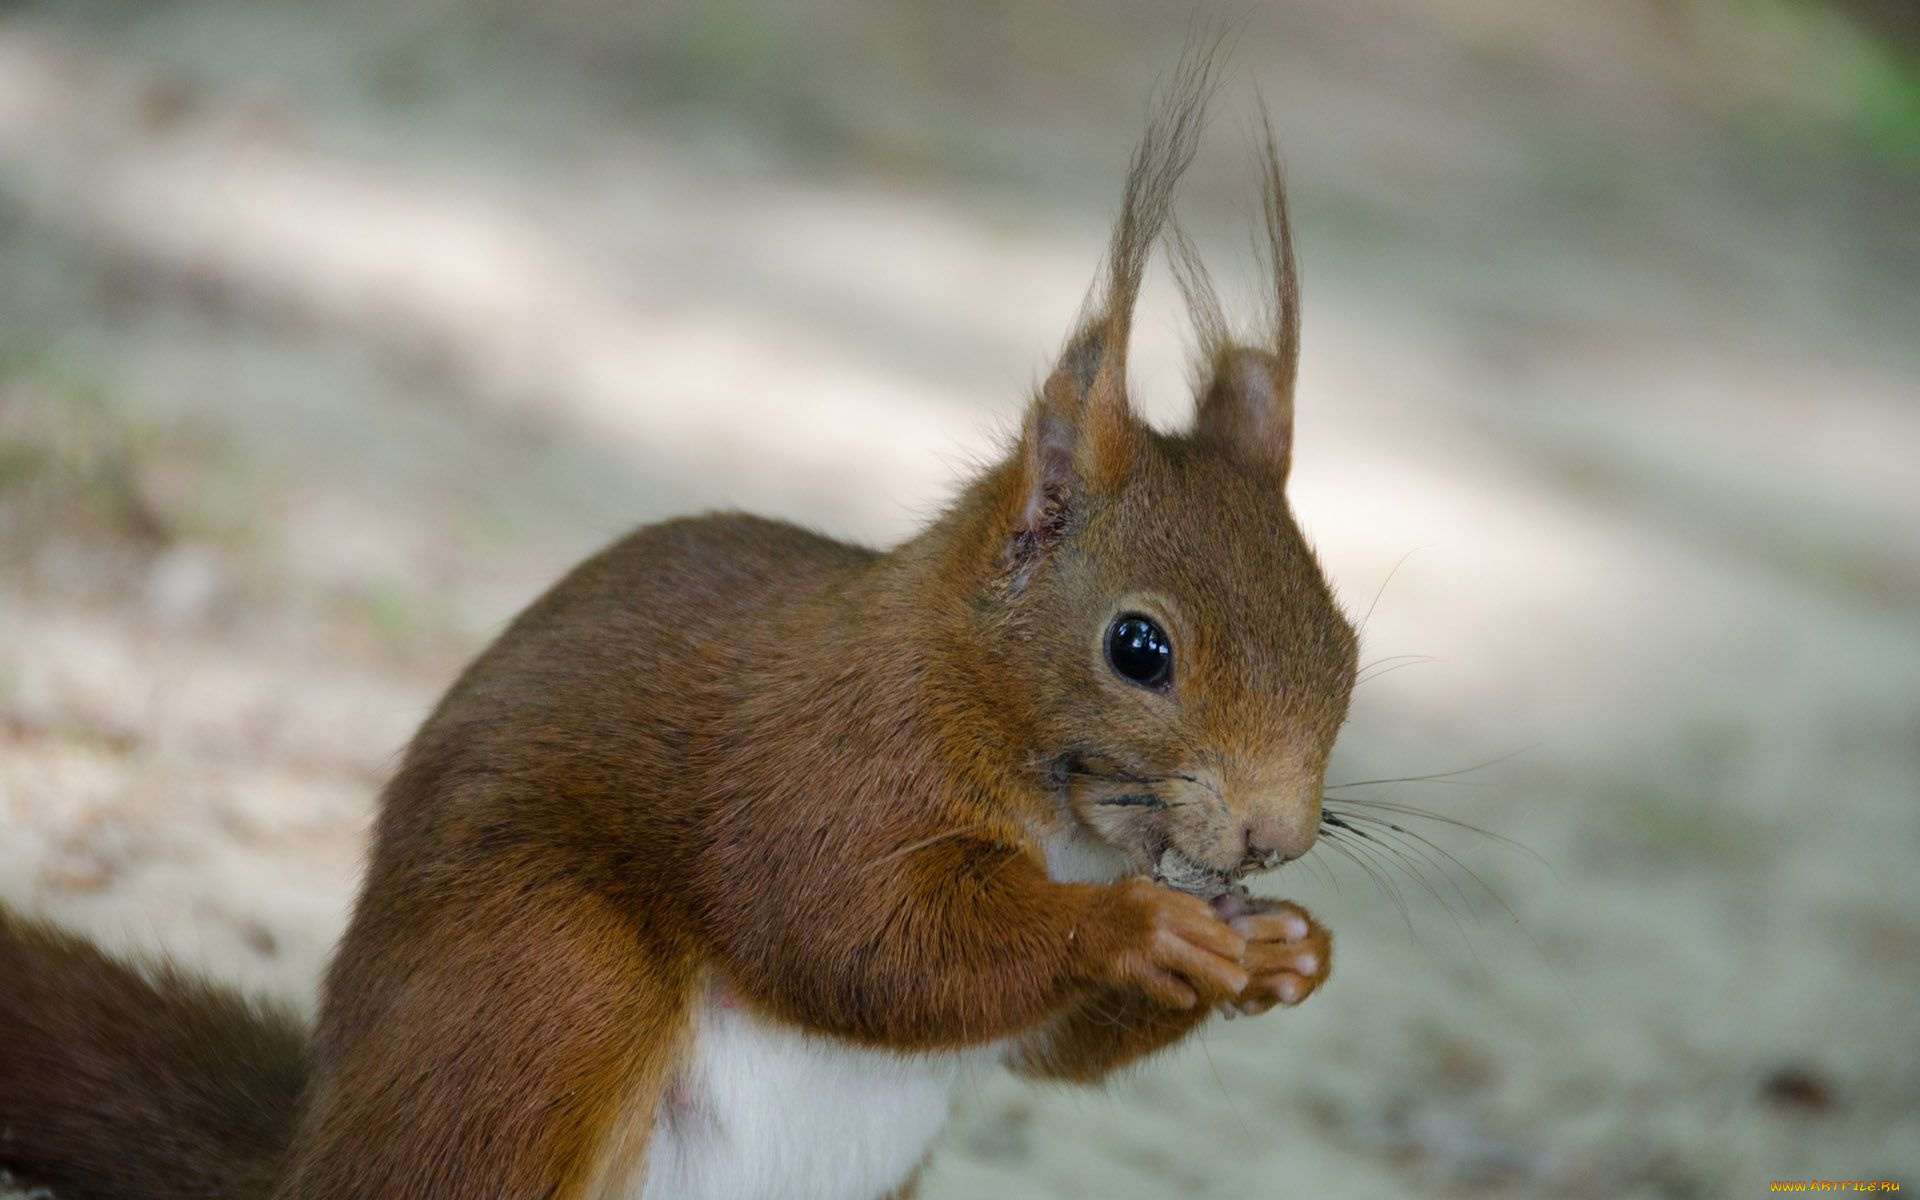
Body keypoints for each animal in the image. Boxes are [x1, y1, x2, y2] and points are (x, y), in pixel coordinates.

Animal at [0, 46, 1359, 1198]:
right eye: (1140, 649)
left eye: (1348, 652)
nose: (1277, 836)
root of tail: (309, 1163)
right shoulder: (827, 767)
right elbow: (854, 934)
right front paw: (1138, 925)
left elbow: (1044, 1049)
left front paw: (1292, 951)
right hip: (547, 980)